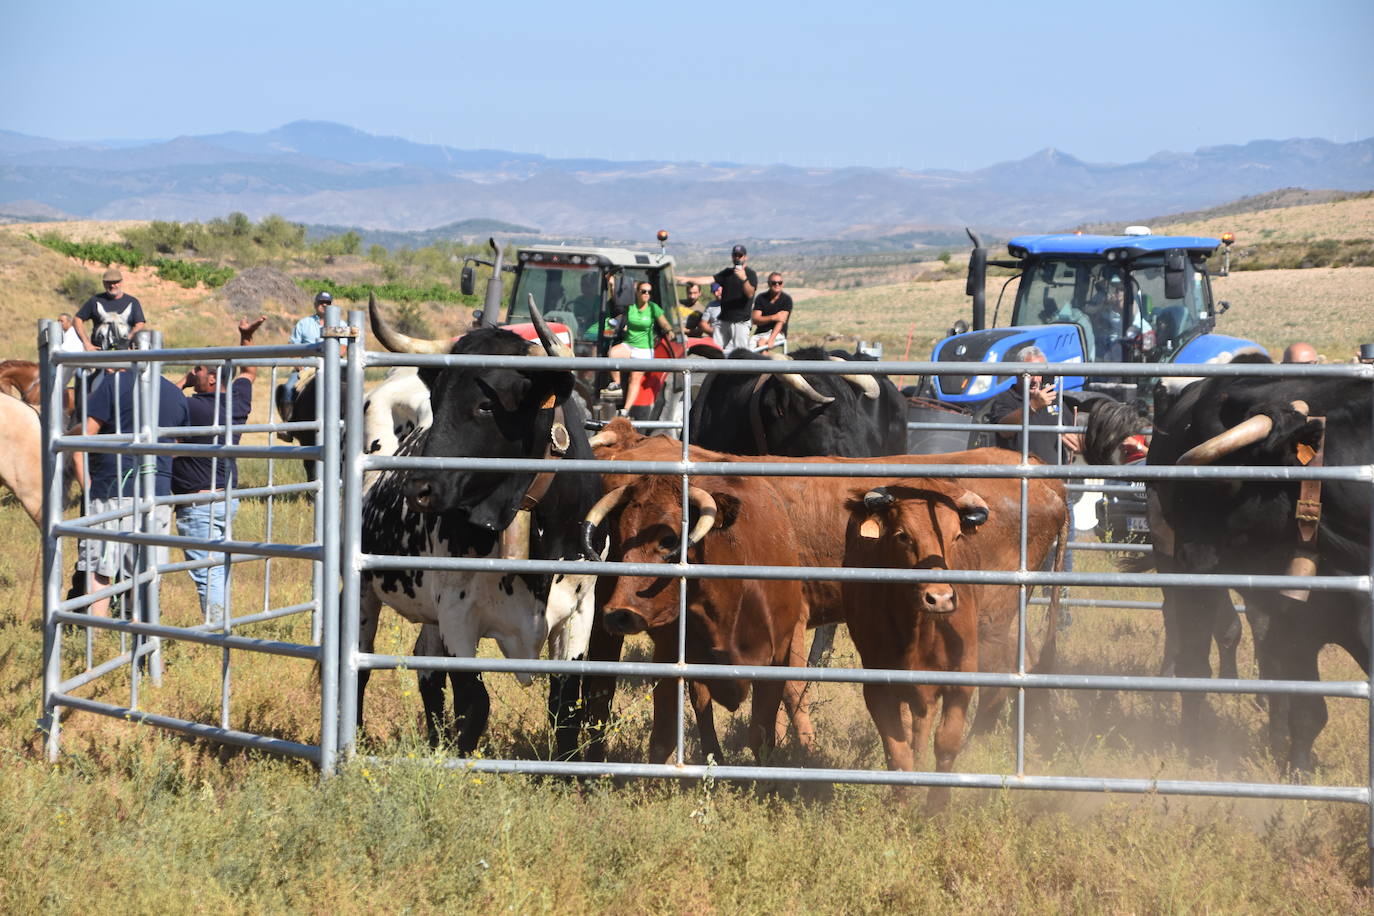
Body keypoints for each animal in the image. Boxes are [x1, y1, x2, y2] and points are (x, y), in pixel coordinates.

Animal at [359, 304, 601, 758]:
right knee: (361, 666)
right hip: (364, 590)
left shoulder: (579, 612)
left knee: (427, 670)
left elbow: (567, 705)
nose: (418, 488)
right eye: (438, 400)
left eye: (487, 405)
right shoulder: (458, 616)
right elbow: (475, 703)